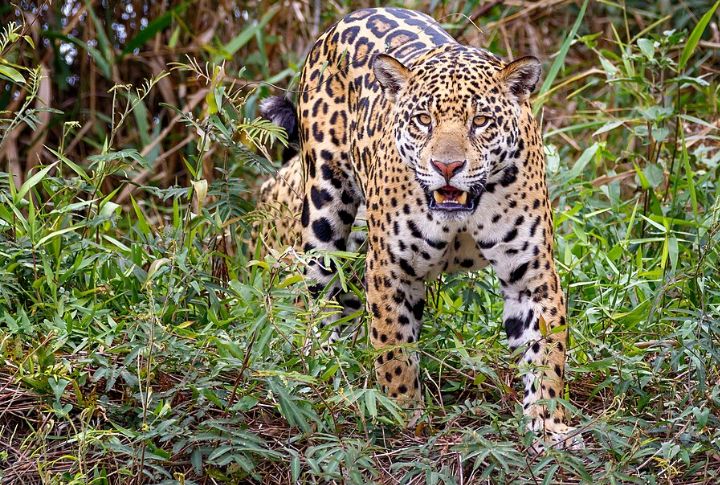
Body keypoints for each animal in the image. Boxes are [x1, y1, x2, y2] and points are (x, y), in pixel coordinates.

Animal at [257, 7, 582, 449]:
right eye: (423, 120)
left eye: (481, 121)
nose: (447, 166)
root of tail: (352, 16)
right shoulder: (390, 270)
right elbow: (394, 351)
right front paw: (405, 416)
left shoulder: (532, 275)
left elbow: (546, 354)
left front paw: (547, 424)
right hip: (324, 210)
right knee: (317, 296)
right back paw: (324, 366)